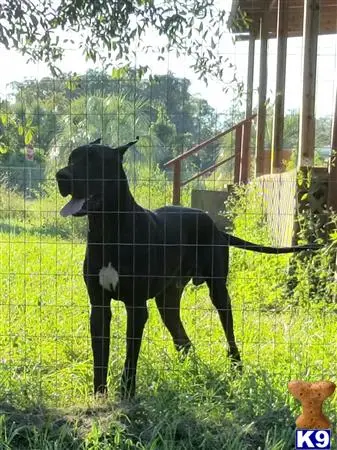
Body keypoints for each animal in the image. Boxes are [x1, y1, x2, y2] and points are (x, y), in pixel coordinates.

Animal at [56, 137, 318, 398]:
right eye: (71, 158)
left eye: (94, 161)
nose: (61, 175)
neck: (108, 229)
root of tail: (216, 227)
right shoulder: (98, 306)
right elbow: (100, 355)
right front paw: (100, 394)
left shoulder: (136, 307)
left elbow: (131, 357)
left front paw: (127, 393)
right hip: (167, 301)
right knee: (184, 341)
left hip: (218, 292)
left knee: (228, 333)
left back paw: (235, 369)